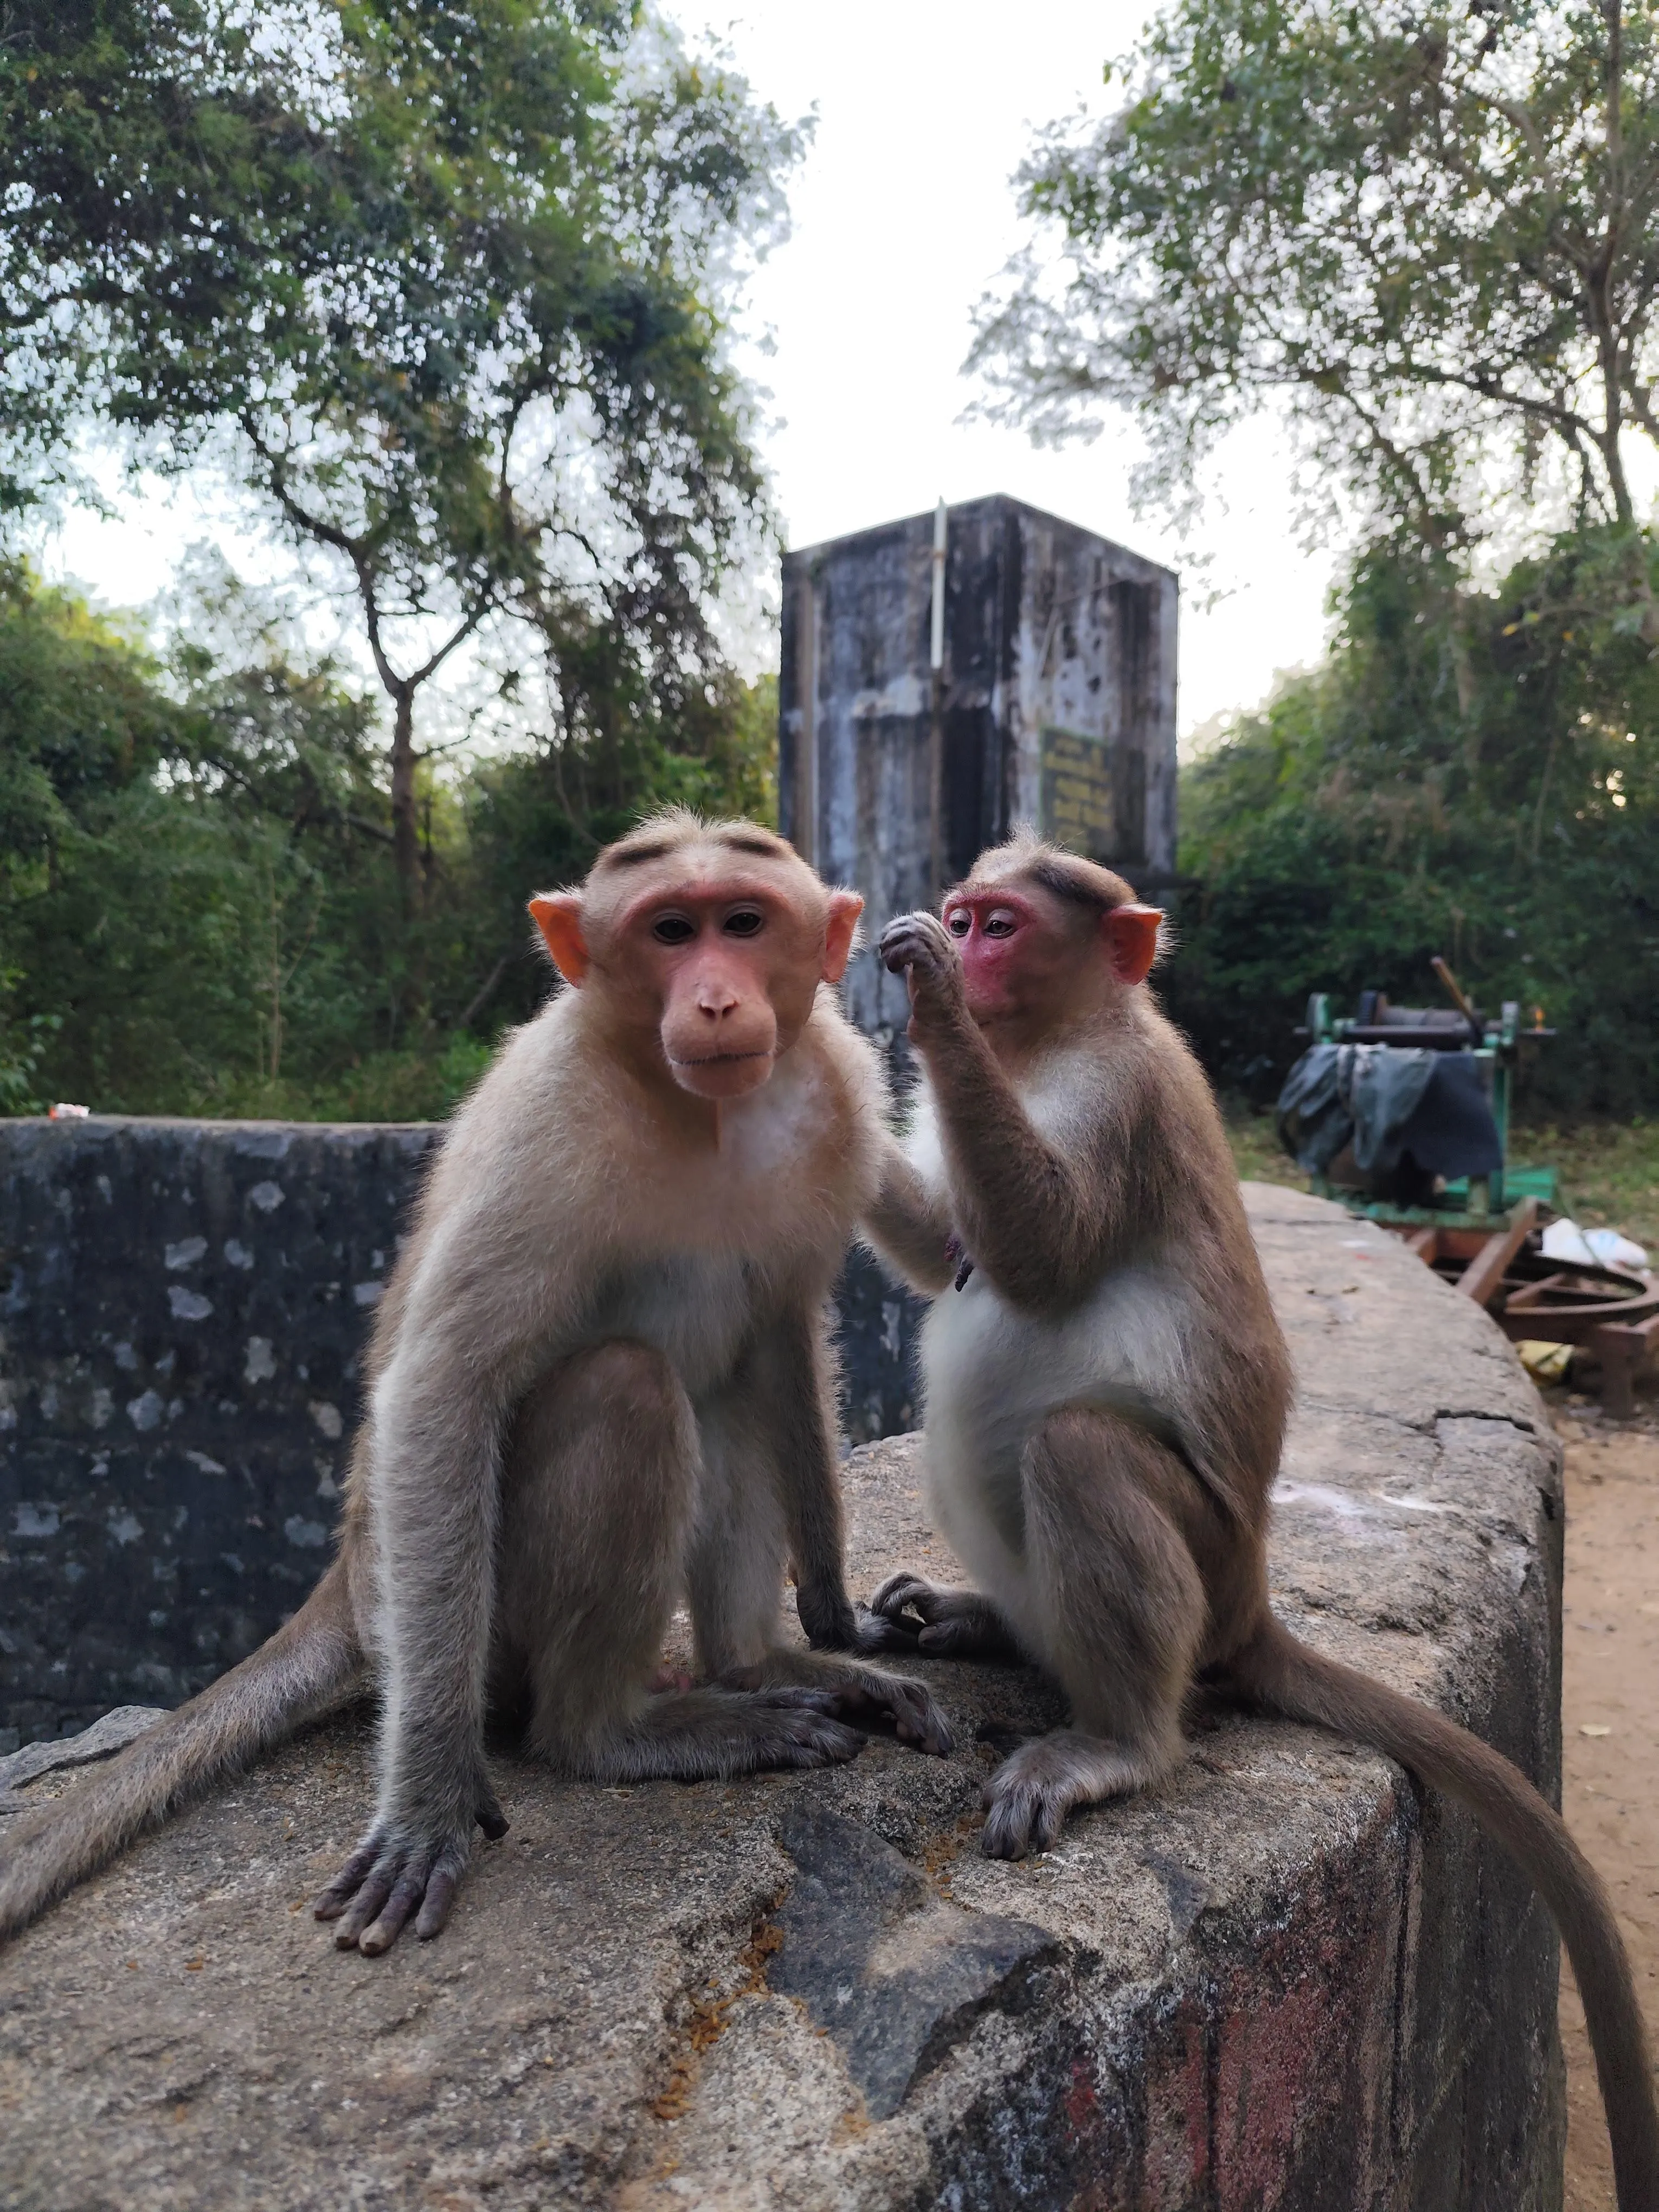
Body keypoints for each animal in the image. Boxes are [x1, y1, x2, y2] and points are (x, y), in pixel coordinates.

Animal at [0, 811, 949, 1960]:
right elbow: (442, 1393)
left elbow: (780, 1337)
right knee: (629, 1388)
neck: (706, 1117)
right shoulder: (552, 1127)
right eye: (671, 931)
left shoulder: (837, 1097)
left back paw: (758, 1667)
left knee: (723, 1396)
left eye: (744, 922)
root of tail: (350, 1579)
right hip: (479, 1620)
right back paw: (613, 1733)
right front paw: (429, 1805)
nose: (718, 999)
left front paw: (832, 1617)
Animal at [861, 830, 1658, 2212]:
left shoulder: (1121, 1096)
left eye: (996, 927)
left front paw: (934, 1012)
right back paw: (992, 1625)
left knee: (1078, 1453)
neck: (1052, 1040)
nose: (954, 948)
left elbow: (1039, 1247)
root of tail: (1249, 1605)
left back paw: (1117, 1741)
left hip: (1203, 1556)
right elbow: (940, 1251)